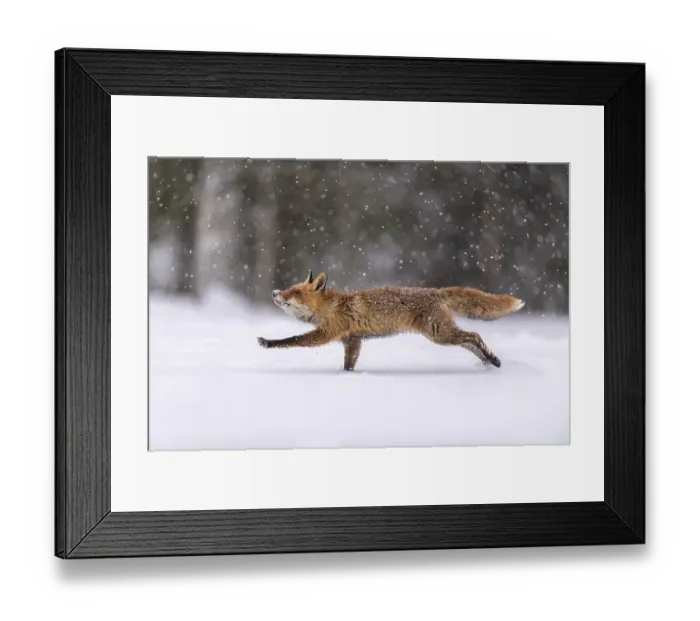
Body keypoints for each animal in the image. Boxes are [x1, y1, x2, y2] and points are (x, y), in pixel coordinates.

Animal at [257, 271, 525, 371]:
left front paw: (268, 342)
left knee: (474, 336)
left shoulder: (327, 333)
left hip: (438, 334)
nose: (274, 292)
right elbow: (348, 365)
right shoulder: (352, 341)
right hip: (443, 334)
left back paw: (491, 359)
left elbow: (293, 340)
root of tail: (436, 291)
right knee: (470, 341)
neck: (329, 307)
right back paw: (490, 360)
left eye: (294, 291)